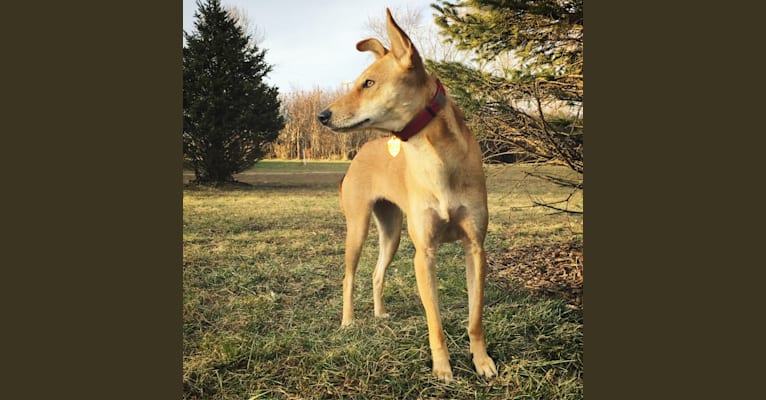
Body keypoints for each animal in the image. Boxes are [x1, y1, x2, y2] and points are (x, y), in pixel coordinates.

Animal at [318, 7, 498, 380]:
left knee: (376, 273)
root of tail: (359, 155)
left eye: (368, 83)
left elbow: (475, 317)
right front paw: (443, 368)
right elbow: (435, 322)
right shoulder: (423, 254)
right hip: (357, 228)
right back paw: (348, 322)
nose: (322, 116)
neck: (437, 157)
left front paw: (482, 361)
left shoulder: (475, 248)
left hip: (392, 232)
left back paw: (379, 313)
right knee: (348, 277)